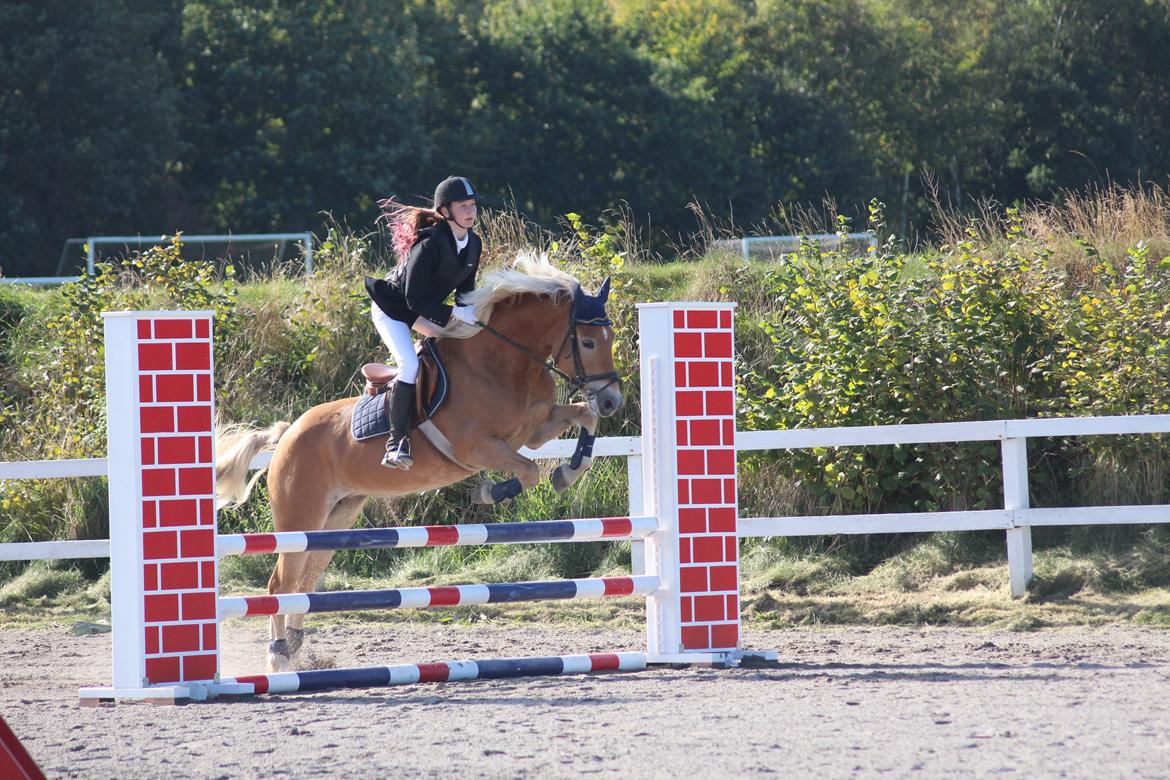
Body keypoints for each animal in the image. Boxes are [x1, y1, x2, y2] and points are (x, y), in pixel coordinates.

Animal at [215, 254, 627, 673]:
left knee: (303, 583)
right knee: (281, 584)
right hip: (300, 517)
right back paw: (279, 656)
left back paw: (296, 651)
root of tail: (288, 434)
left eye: (610, 339)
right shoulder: (475, 447)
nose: (613, 401)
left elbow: (583, 418)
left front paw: (568, 471)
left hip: (336, 517)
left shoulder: (535, 433)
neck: (503, 362)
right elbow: (527, 471)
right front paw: (490, 492)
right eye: (588, 341)